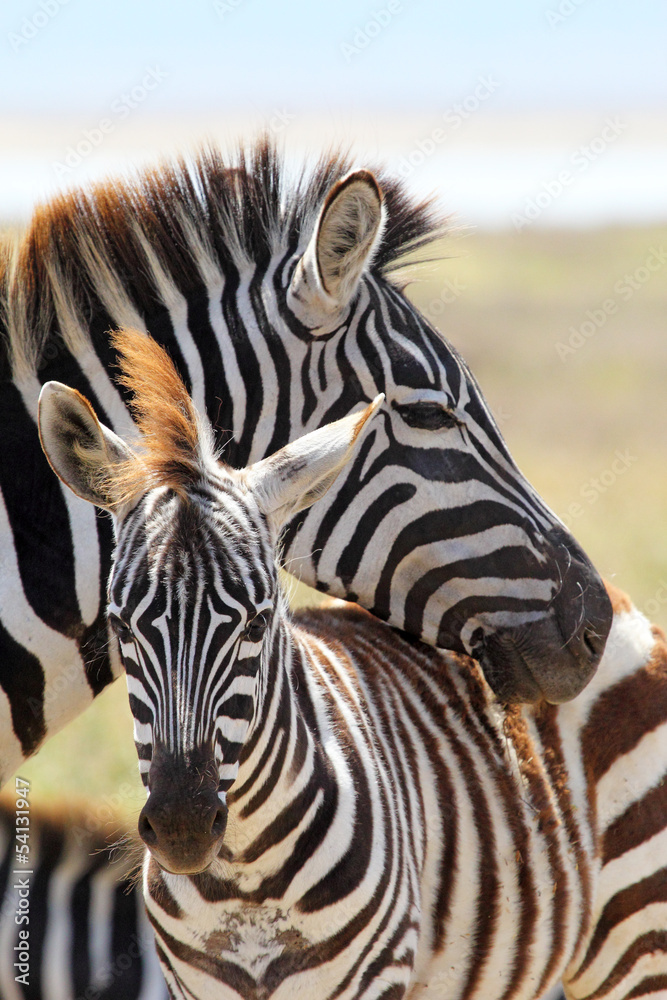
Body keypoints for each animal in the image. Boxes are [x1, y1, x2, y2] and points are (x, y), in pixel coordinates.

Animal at [36, 330, 667, 999]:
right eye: (121, 626)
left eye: (258, 623)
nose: (182, 827)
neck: (243, 876)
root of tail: (620, 606)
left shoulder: (373, 978)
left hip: (637, 938)